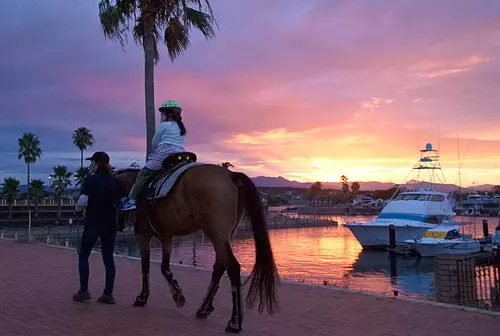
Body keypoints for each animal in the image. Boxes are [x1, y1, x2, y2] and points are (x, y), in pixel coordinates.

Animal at [113, 163, 280, 334]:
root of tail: (231, 175)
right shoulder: (167, 236)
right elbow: (164, 268)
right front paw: (177, 295)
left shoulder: (142, 235)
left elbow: (145, 267)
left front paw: (142, 297)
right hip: (224, 236)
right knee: (220, 266)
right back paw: (204, 309)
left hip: (216, 234)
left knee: (232, 267)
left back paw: (234, 322)